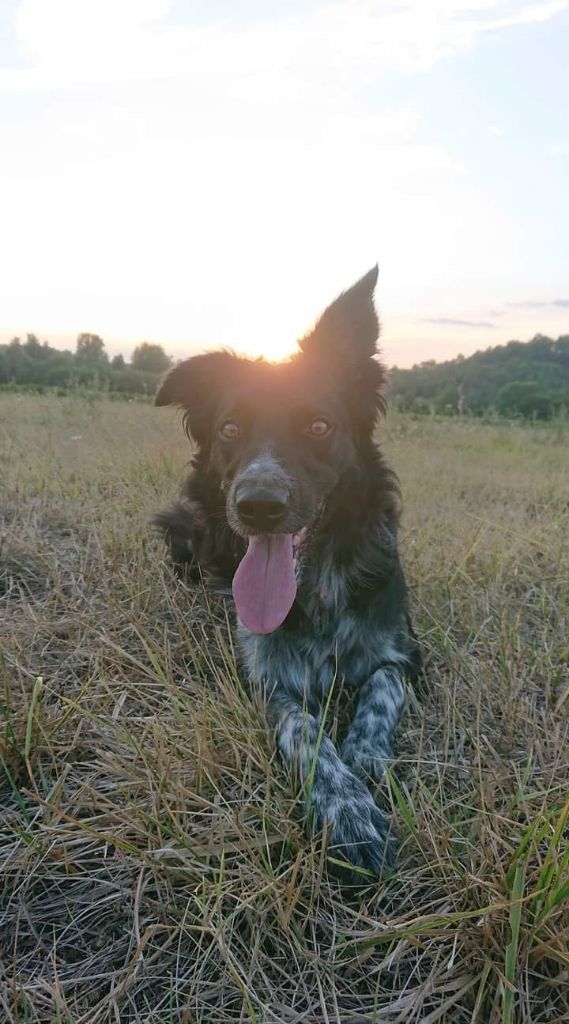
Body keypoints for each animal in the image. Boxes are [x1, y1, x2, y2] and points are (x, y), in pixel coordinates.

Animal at [153, 266, 419, 880]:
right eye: (230, 429)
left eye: (319, 425)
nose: (258, 505)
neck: (319, 584)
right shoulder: (270, 679)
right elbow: (306, 734)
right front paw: (348, 810)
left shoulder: (404, 652)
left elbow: (382, 689)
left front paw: (366, 755)